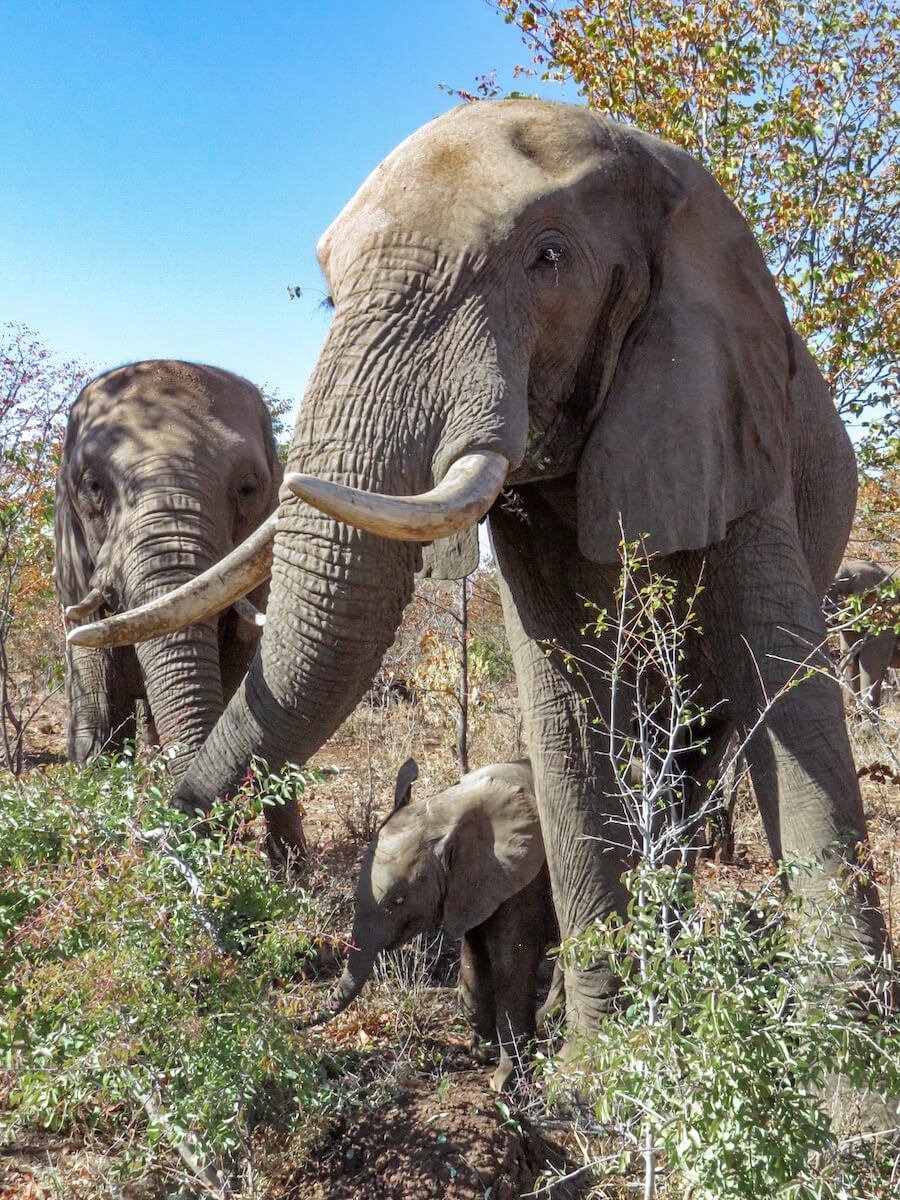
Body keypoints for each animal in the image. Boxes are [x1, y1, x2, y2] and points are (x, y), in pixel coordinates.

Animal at [325, 758, 562, 1091]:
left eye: (398, 901)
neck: (445, 807)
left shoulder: (525, 877)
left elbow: (512, 961)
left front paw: (503, 1081)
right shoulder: (475, 886)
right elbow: (475, 956)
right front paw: (481, 1053)